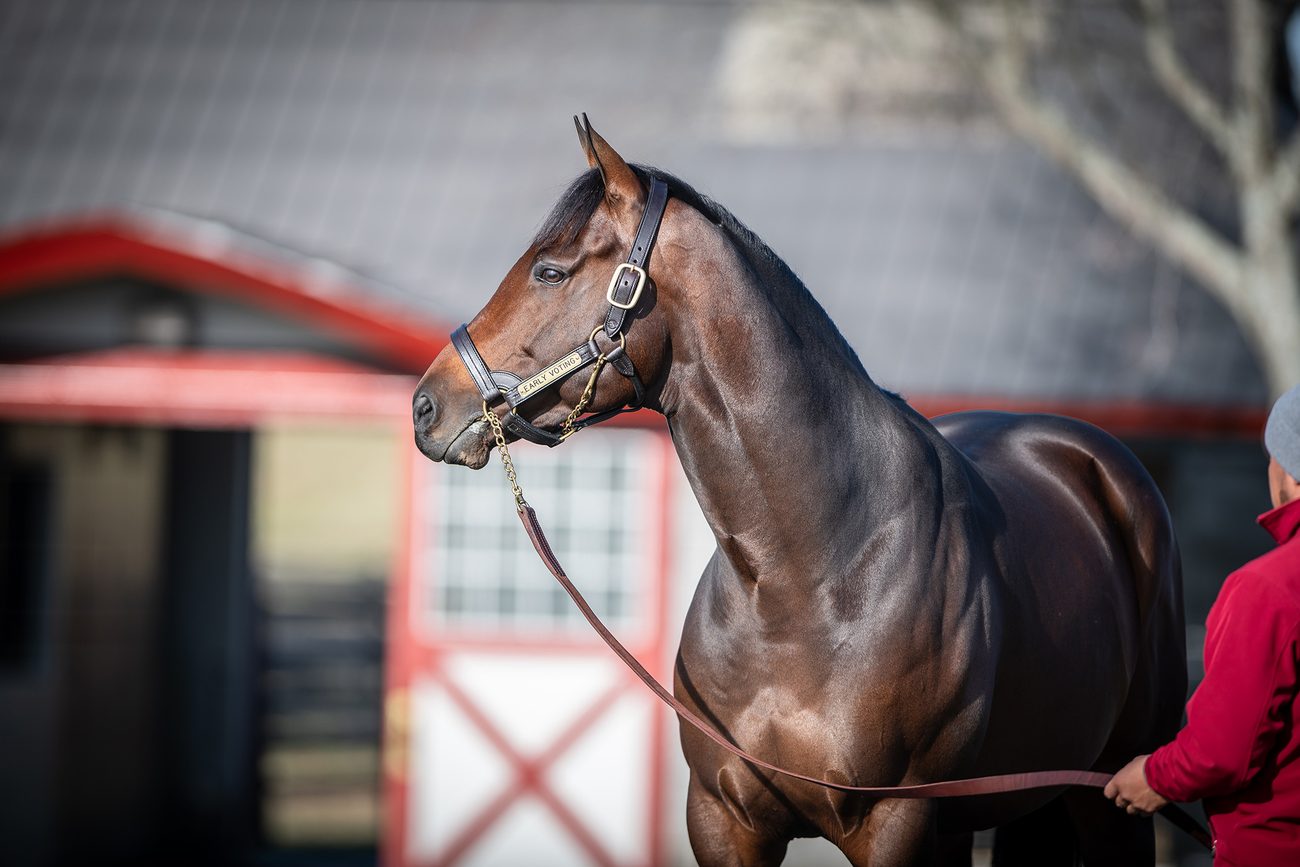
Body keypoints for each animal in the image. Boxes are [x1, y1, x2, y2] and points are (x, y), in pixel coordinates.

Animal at [411, 116, 1187, 866]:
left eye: (549, 271)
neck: (810, 577)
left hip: (1106, 795)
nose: (426, 407)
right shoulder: (723, 820)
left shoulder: (896, 822)